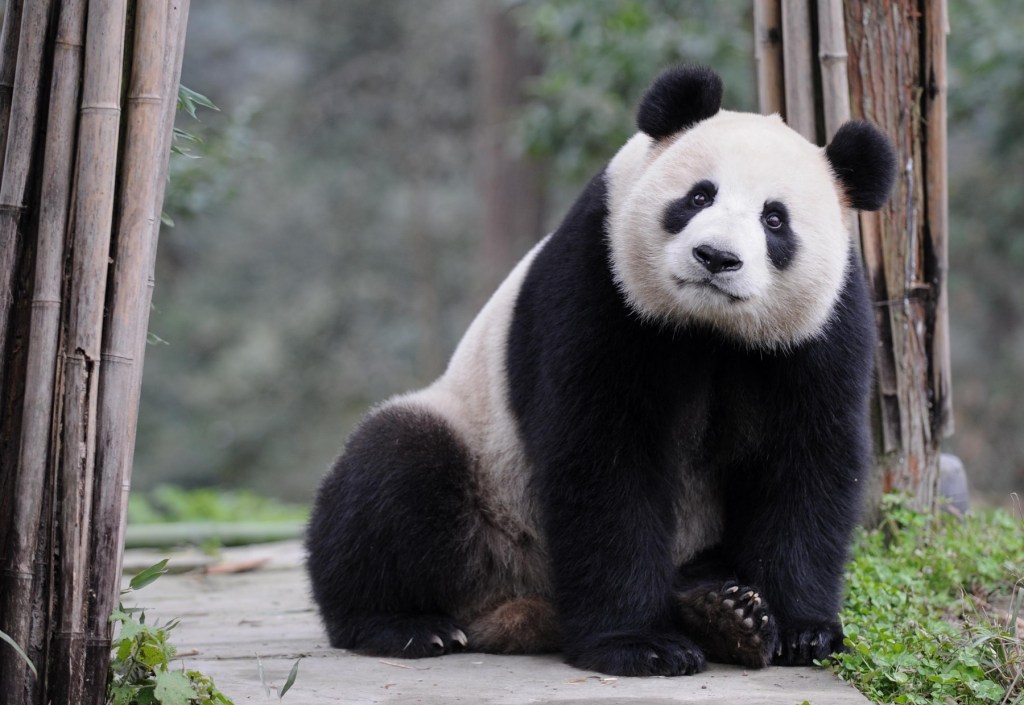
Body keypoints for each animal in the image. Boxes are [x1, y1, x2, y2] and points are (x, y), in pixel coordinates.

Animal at [306, 65, 896, 677]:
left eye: (774, 219)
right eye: (699, 196)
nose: (716, 257)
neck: (709, 328)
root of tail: (515, 607)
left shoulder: (822, 331)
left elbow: (807, 462)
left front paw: (804, 631)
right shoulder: (601, 279)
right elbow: (603, 458)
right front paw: (642, 644)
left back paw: (724, 613)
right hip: (485, 471)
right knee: (394, 470)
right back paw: (404, 625)